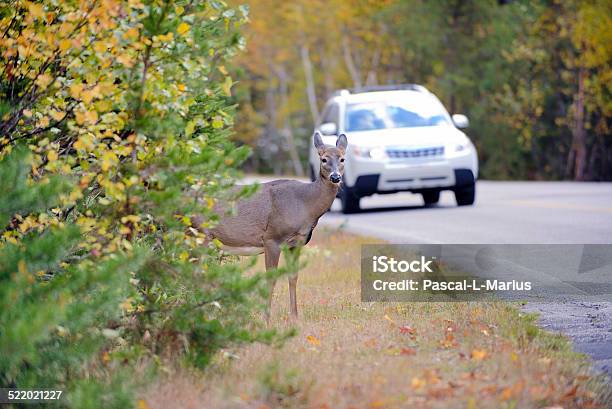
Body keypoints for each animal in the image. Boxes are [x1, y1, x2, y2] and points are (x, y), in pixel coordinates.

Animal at [209, 132, 344, 318]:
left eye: (342, 159)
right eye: (324, 159)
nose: (335, 177)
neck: (304, 204)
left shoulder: (296, 243)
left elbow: (293, 276)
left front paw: (294, 316)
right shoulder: (272, 238)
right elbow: (271, 279)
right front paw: (266, 317)